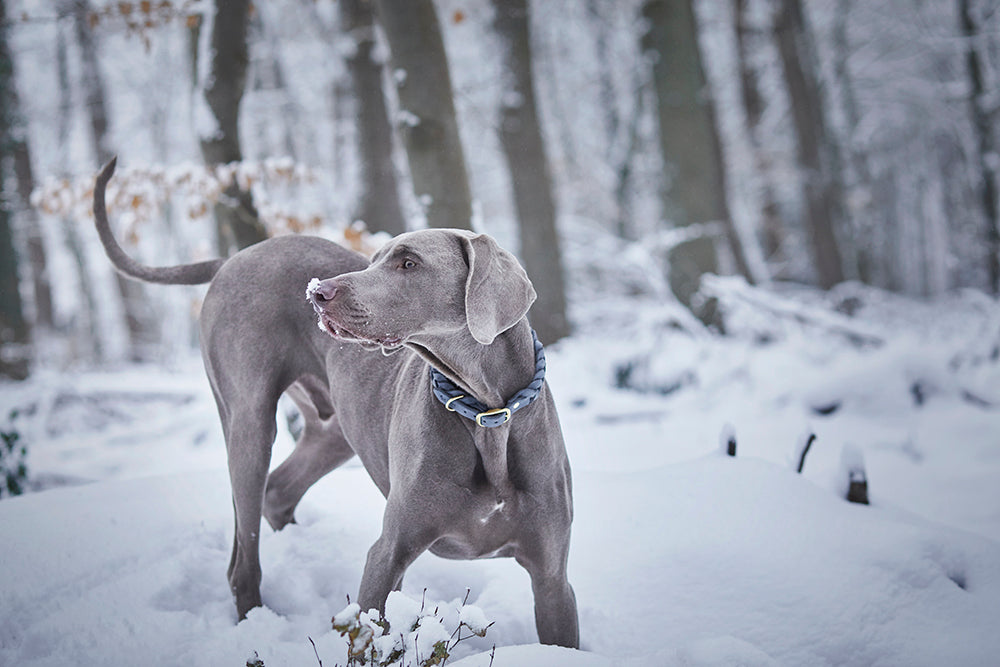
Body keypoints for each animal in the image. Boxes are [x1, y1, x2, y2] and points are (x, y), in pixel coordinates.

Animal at [95, 159, 580, 648]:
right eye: (375, 259)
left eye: (409, 263)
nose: (317, 294)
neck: (485, 413)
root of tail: (234, 258)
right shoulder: (387, 553)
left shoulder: (553, 579)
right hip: (250, 421)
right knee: (243, 559)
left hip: (335, 431)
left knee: (279, 492)